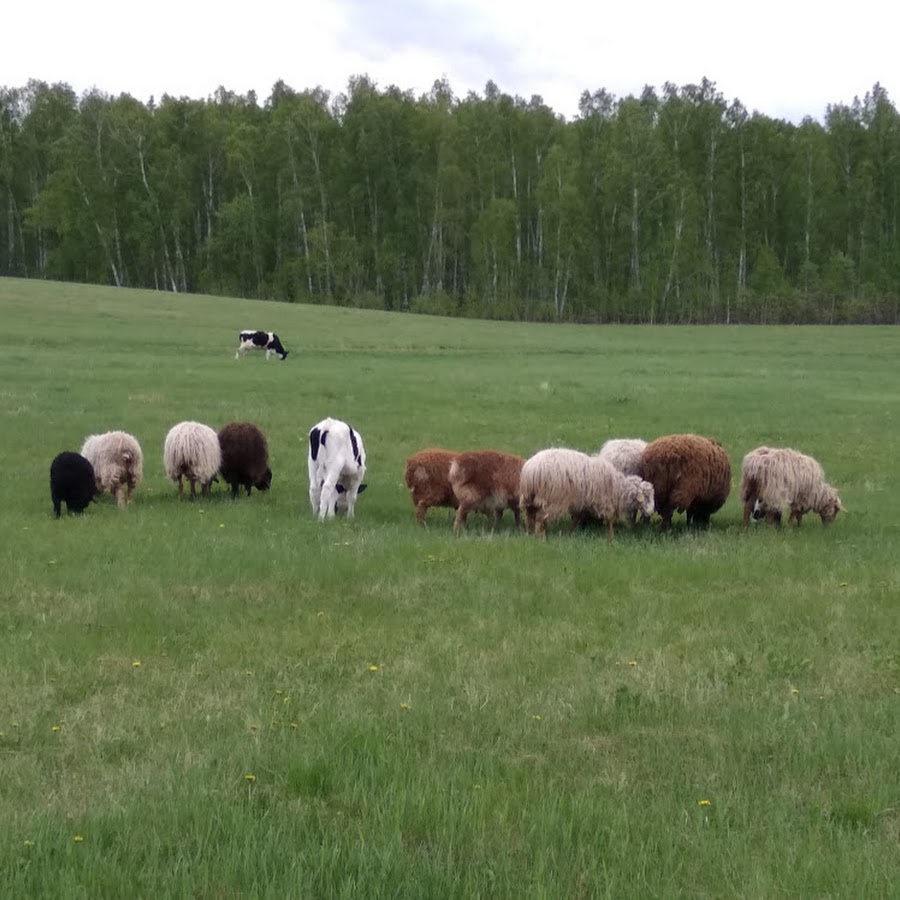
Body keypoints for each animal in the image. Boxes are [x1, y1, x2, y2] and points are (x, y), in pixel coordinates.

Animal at [520, 448, 652, 540]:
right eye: (646, 497)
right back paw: (540, 538)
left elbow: (575, 519)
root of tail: (530, 471)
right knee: (539, 519)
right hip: (550, 500)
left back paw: (528, 534)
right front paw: (611, 538)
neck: (618, 488)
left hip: (528, 497)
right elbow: (609, 520)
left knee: (528, 516)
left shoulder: (581, 503)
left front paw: (570, 534)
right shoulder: (604, 502)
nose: (650, 512)